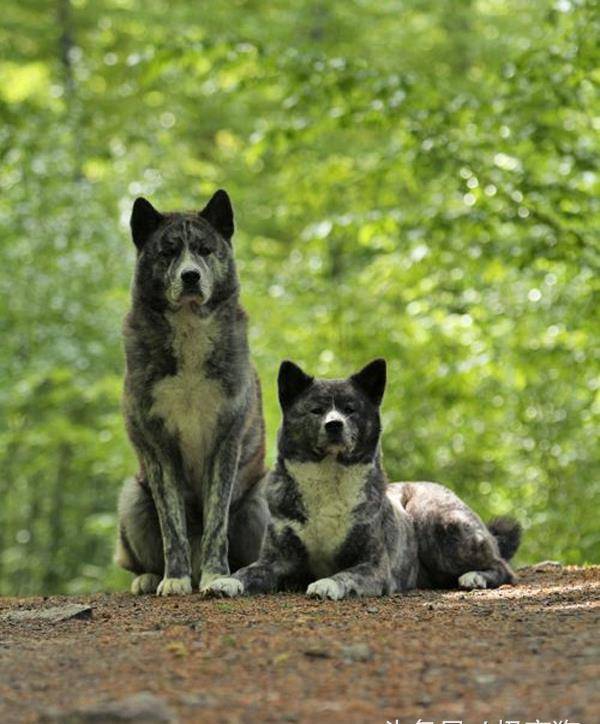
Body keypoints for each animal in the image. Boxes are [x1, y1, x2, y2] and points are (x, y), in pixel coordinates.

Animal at [114, 191, 268, 592]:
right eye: (168, 252)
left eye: (204, 249)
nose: (190, 276)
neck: (188, 328)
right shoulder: (160, 447)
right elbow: (173, 527)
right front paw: (175, 580)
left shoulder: (224, 441)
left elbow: (216, 522)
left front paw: (216, 574)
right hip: (132, 497)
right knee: (138, 558)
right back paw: (150, 578)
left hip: (261, 501)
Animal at [206, 358, 520, 600]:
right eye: (316, 409)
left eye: (350, 408)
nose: (334, 425)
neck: (328, 476)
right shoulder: (276, 560)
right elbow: (248, 570)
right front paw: (226, 581)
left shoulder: (372, 566)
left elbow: (346, 575)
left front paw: (327, 584)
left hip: (435, 520)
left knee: (503, 567)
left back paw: (475, 577)